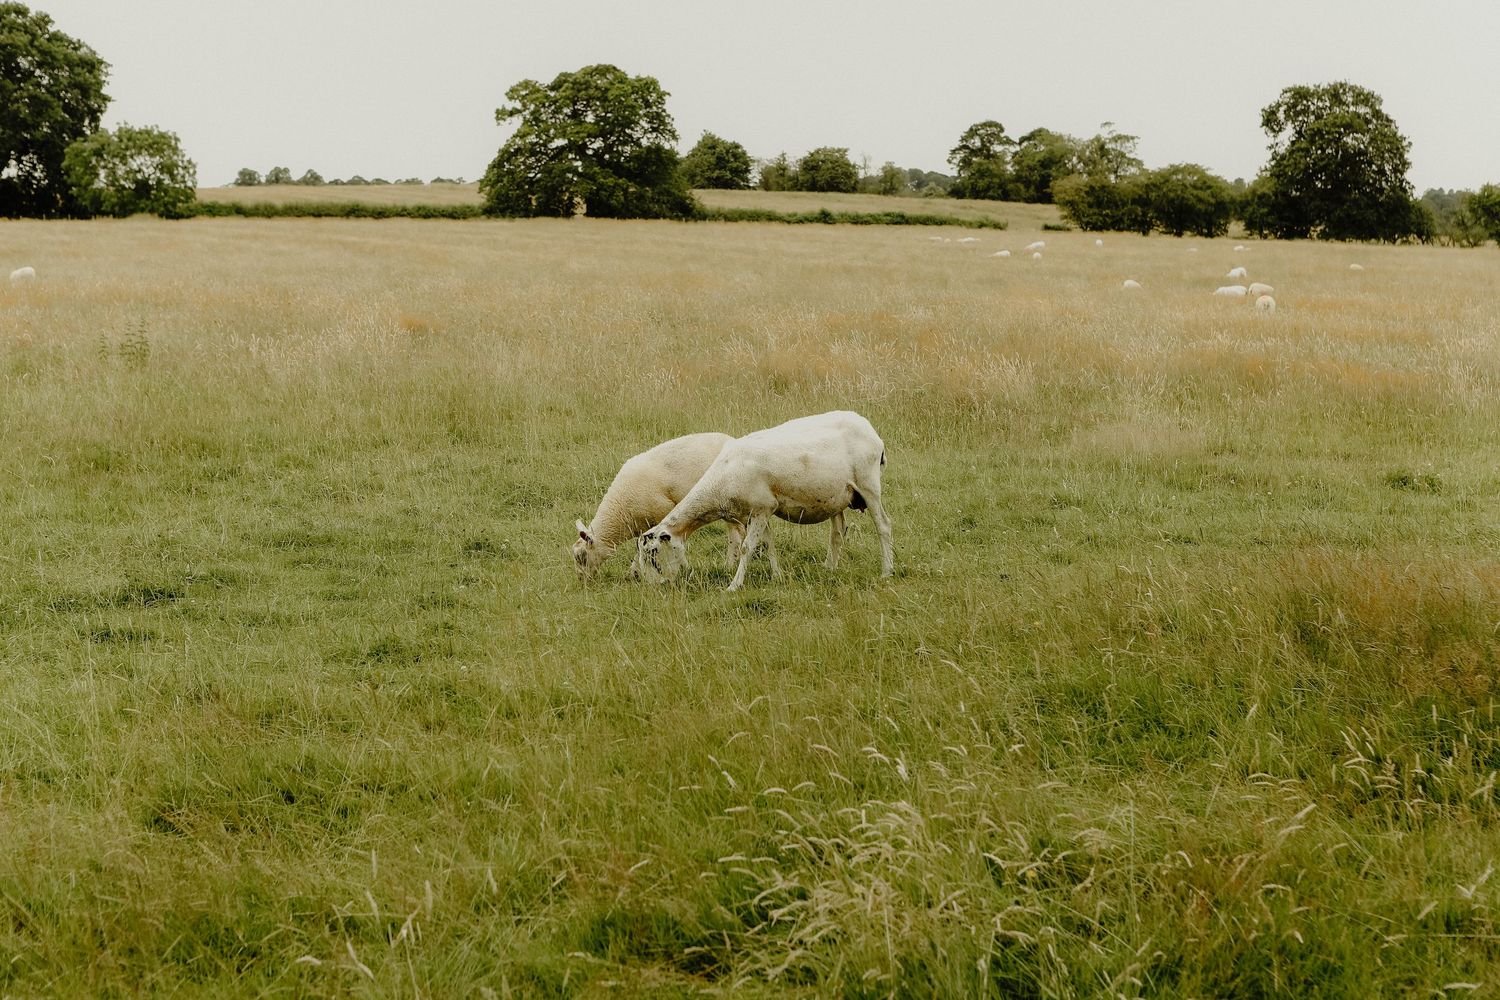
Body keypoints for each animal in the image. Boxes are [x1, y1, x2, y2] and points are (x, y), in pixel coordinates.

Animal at [573, 432, 748, 580]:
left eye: (581, 556)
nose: (582, 580)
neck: (619, 512)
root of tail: (732, 439)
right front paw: (635, 573)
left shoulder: (662, 514)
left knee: (736, 533)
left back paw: (729, 564)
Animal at [637, 411, 892, 592]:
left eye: (653, 555)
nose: (655, 587)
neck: (719, 483)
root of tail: (871, 430)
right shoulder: (761, 510)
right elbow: (769, 544)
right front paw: (777, 576)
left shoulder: (761, 508)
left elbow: (746, 547)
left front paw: (733, 586)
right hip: (838, 495)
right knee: (838, 532)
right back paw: (829, 568)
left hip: (868, 485)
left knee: (883, 526)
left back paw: (887, 571)